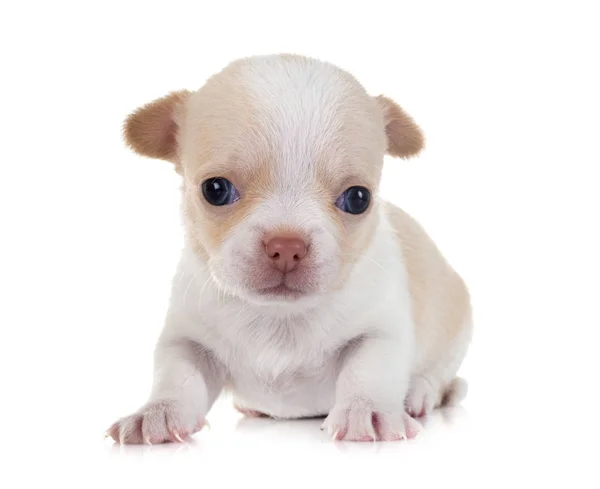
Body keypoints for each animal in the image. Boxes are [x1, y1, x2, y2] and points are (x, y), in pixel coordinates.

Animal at [106, 53, 474, 442]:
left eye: (358, 198)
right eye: (215, 190)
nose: (286, 245)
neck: (278, 317)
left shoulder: (380, 332)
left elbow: (368, 369)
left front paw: (367, 411)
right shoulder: (187, 341)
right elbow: (176, 377)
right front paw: (156, 413)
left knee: (439, 376)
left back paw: (419, 392)